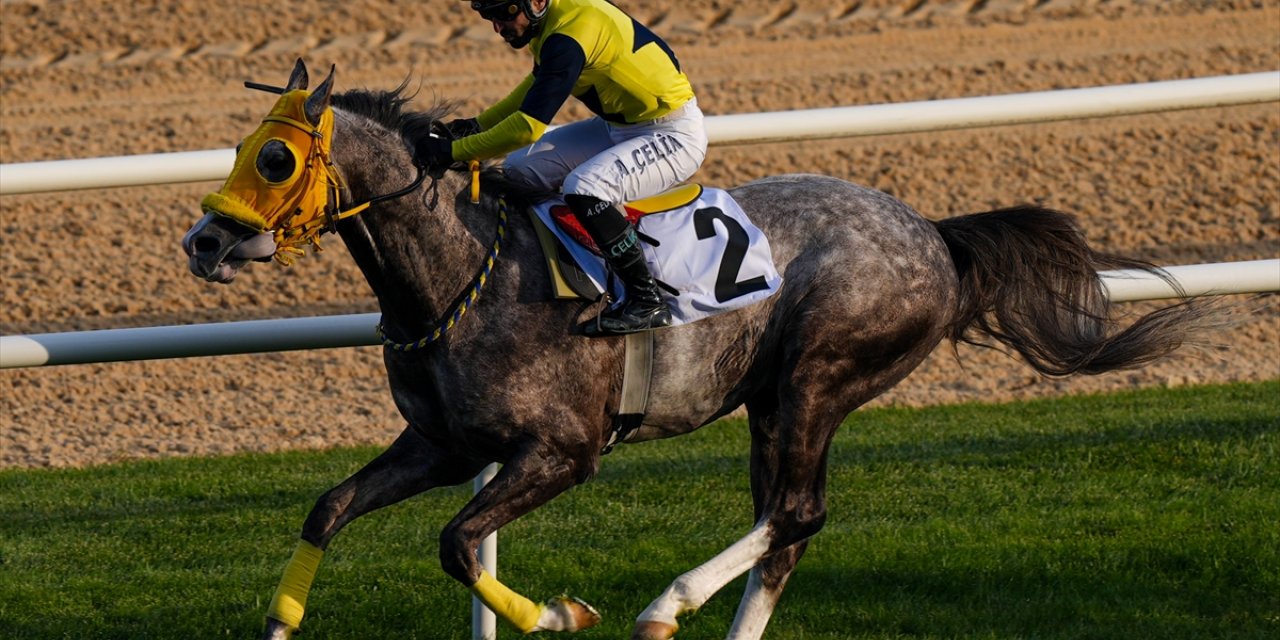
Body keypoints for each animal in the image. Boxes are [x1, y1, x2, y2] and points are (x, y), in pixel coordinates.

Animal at [185, 61, 1203, 640]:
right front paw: (280, 622)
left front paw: (561, 611)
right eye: (239, 148)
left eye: (274, 160)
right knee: (788, 529)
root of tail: (934, 236)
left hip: (818, 375)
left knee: (795, 512)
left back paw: (663, 608)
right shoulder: (442, 444)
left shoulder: (564, 451)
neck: (458, 274)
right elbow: (328, 510)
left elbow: (460, 545)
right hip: (769, 404)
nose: (203, 241)